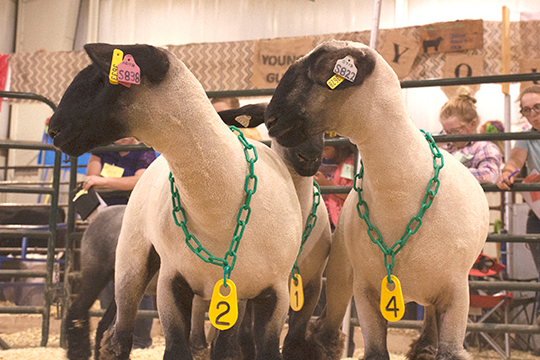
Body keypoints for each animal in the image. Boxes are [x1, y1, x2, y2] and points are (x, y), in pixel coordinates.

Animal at [47, 43, 304, 358]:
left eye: (102, 79)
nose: (54, 130)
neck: (218, 205)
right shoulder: (171, 282)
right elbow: (177, 349)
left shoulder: (273, 294)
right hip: (129, 265)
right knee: (116, 338)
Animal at [264, 39, 490, 360]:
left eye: (321, 69)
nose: (270, 120)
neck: (398, 192)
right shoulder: (367, 291)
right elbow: (375, 353)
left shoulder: (457, 293)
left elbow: (448, 351)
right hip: (340, 273)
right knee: (326, 331)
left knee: (430, 325)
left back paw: (424, 347)